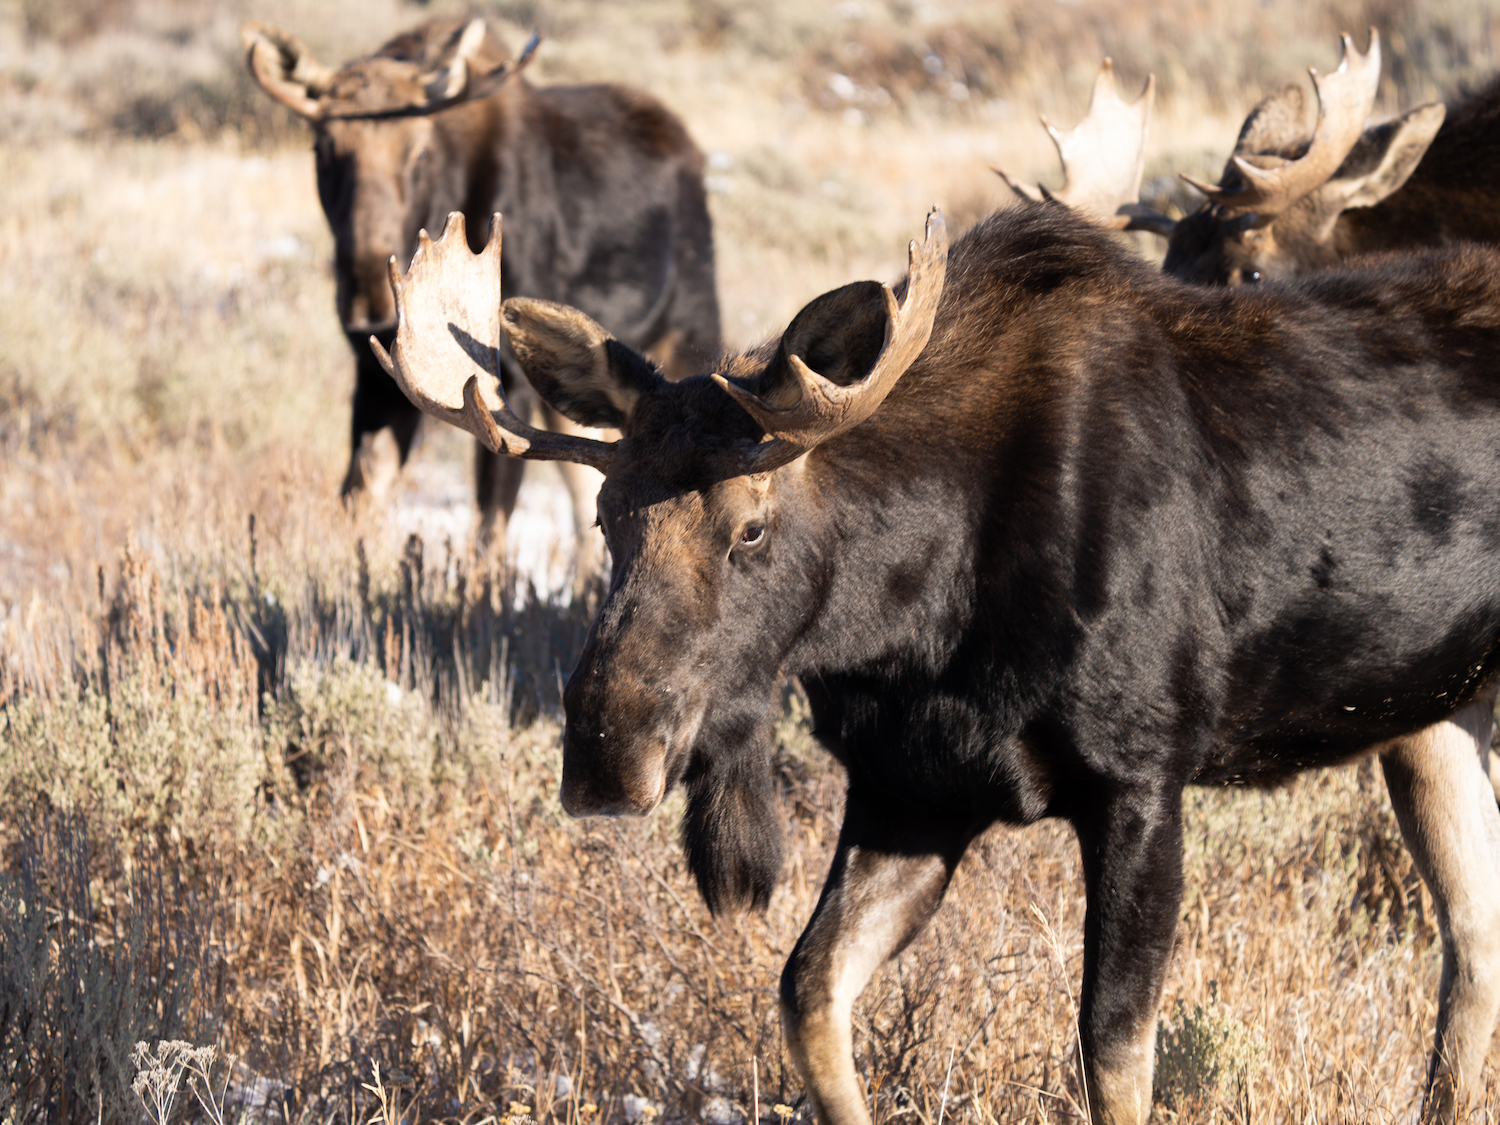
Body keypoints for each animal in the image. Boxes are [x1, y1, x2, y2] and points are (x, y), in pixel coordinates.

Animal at [240, 19, 720, 573]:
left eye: (420, 152)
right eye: (322, 150)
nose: (366, 300)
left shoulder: (504, 379)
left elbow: (489, 533)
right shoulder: (379, 373)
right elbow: (359, 497)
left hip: (686, 331)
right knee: (587, 490)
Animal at [369, 207, 1500, 1122]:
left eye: (750, 527)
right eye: (607, 518)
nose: (607, 756)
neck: (912, 612)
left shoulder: (1141, 775)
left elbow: (1113, 1050)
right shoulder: (912, 789)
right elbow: (810, 993)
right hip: (1436, 719)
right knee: (1474, 942)